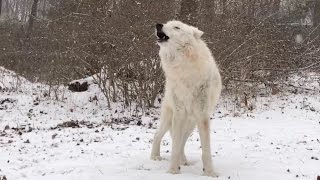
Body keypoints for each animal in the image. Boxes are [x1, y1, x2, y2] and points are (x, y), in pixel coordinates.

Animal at [151, 20, 222, 176]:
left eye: (177, 27)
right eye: (166, 23)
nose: (158, 24)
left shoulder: (202, 116)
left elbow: (206, 150)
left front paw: (209, 173)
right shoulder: (179, 114)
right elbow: (175, 147)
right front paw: (172, 171)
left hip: (191, 124)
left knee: (181, 142)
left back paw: (183, 162)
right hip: (170, 119)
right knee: (158, 136)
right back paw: (155, 157)